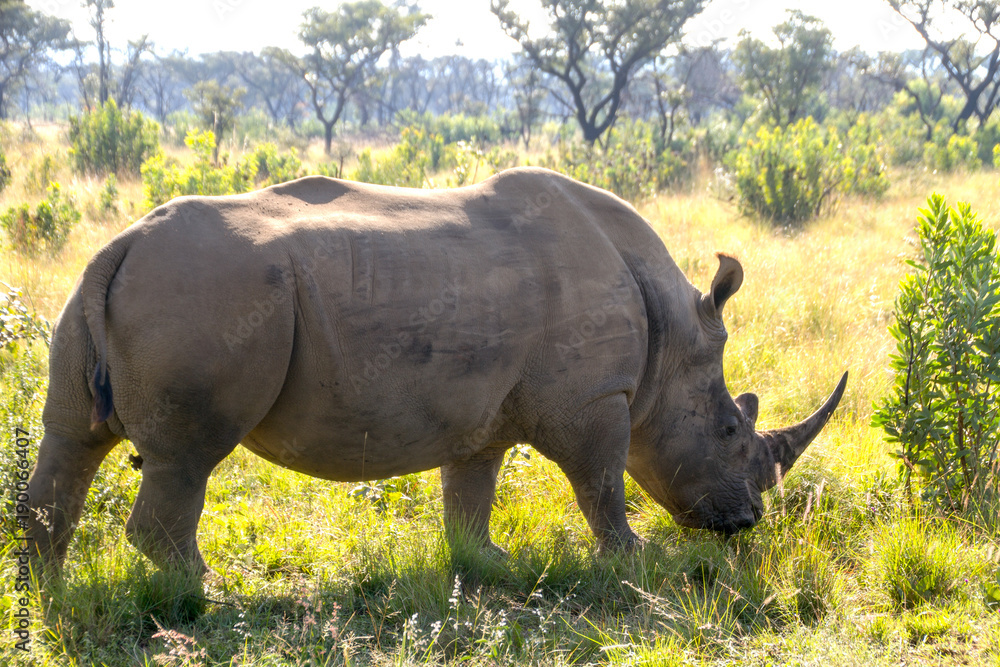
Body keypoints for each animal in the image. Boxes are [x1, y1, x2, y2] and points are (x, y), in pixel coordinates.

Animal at [27, 167, 846, 574]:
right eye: (731, 428)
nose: (746, 524)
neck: (672, 337)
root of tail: (123, 240)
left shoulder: (484, 406)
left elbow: (471, 488)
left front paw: (492, 564)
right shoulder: (594, 399)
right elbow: (602, 481)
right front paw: (632, 563)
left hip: (114, 288)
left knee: (72, 438)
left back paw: (51, 596)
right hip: (205, 291)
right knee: (187, 458)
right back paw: (198, 592)